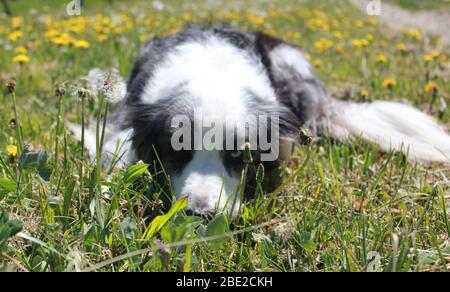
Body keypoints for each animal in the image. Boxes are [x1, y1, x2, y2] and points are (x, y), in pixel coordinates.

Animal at [67, 26, 450, 216]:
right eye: (176, 152)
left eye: (240, 156)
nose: (201, 215)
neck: (211, 72)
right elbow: (115, 148)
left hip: (286, 62)